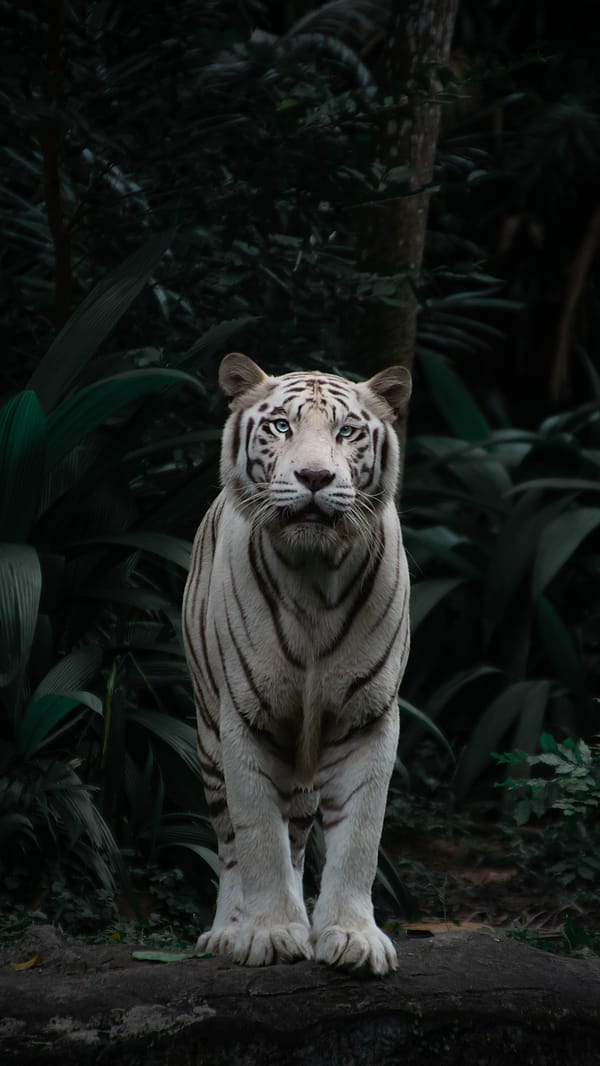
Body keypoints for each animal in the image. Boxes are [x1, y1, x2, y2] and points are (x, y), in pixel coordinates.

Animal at [181, 351, 411, 976]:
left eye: (347, 431)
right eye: (281, 426)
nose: (314, 478)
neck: (314, 575)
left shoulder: (367, 718)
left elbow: (359, 837)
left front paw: (352, 937)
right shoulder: (245, 718)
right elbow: (258, 836)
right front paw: (270, 933)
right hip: (208, 736)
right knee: (230, 843)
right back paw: (227, 931)